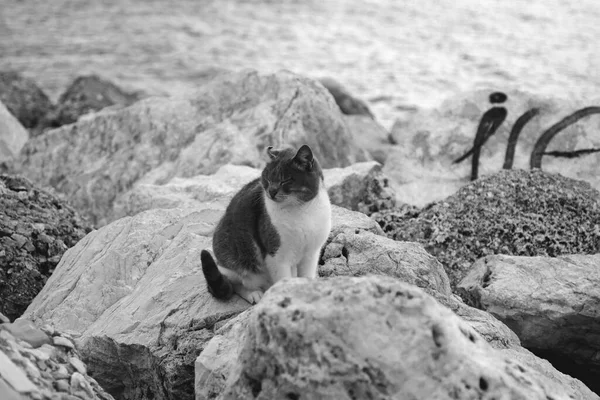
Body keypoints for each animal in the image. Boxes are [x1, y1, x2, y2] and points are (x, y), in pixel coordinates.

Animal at [202, 145, 332, 304]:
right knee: (236, 282)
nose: (271, 191)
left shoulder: (311, 254)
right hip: (234, 259)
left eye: (285, 180)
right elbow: (283, 280)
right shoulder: (277, 256)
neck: (301, 210)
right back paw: (254, 294)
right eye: (268, 179)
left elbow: (306, 276)